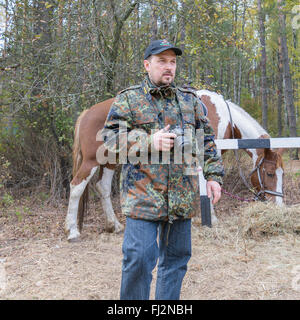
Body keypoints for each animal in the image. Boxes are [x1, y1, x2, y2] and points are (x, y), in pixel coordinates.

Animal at [64, 89, 284, 241]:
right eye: (270, 173)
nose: (278, 205)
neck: (224, 117)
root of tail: (87, 113)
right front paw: (211, 219)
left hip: (109, 160)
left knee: (102, 187)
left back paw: (114, 225)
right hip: (91, 161)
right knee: (76, 187)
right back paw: (73, 231)